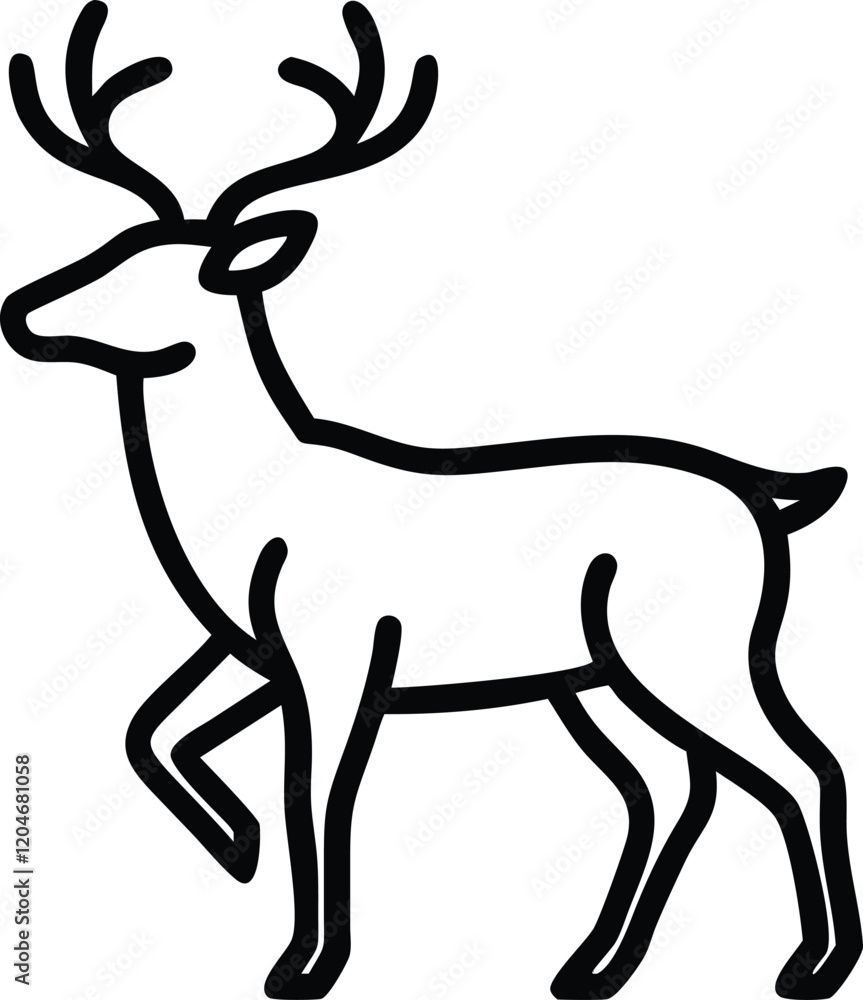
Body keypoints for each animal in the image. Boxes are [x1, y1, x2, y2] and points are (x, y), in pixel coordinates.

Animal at [2, 3, 860, 998]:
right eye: (111, 243)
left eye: (145, 264)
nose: (21, 312)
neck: (247, 515)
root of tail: (770, 497)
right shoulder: (256, 647)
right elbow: (153, 730)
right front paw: (236, 844)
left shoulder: (340, 651)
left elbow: (315, 797)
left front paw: (302, 966)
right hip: (592, 678)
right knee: (675, 785)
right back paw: (592, 966)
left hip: (698, 648)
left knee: (801, 767)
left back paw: (808, 966)